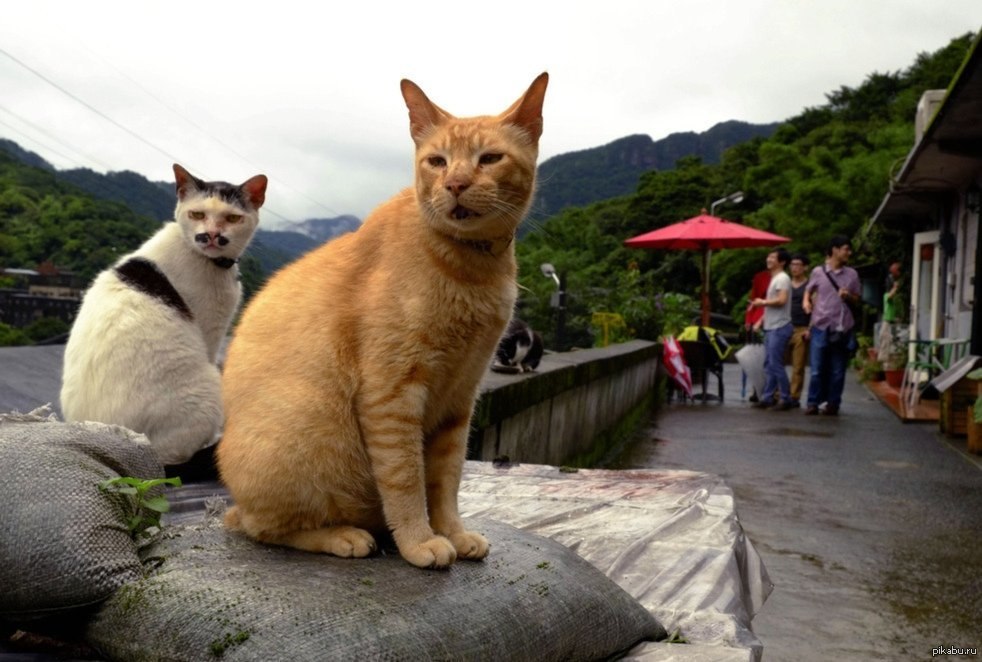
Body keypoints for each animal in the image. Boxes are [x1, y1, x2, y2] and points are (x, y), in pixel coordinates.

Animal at [62, 165, 270, 466]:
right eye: (197, 214)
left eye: (232, 218)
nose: (211, 235)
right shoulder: (210, 333)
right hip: (206, 388)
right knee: (172, 458)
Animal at [218, 74, 548, 572]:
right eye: (437, 161)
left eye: (489, 158)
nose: (455, 183)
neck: (472, 270)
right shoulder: (392, 392)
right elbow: (406, 478)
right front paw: (419, 541)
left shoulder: (461, 397)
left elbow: (446, 480)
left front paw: (453, 533)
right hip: (300, 431)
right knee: (262, 527)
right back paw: (344, 536)